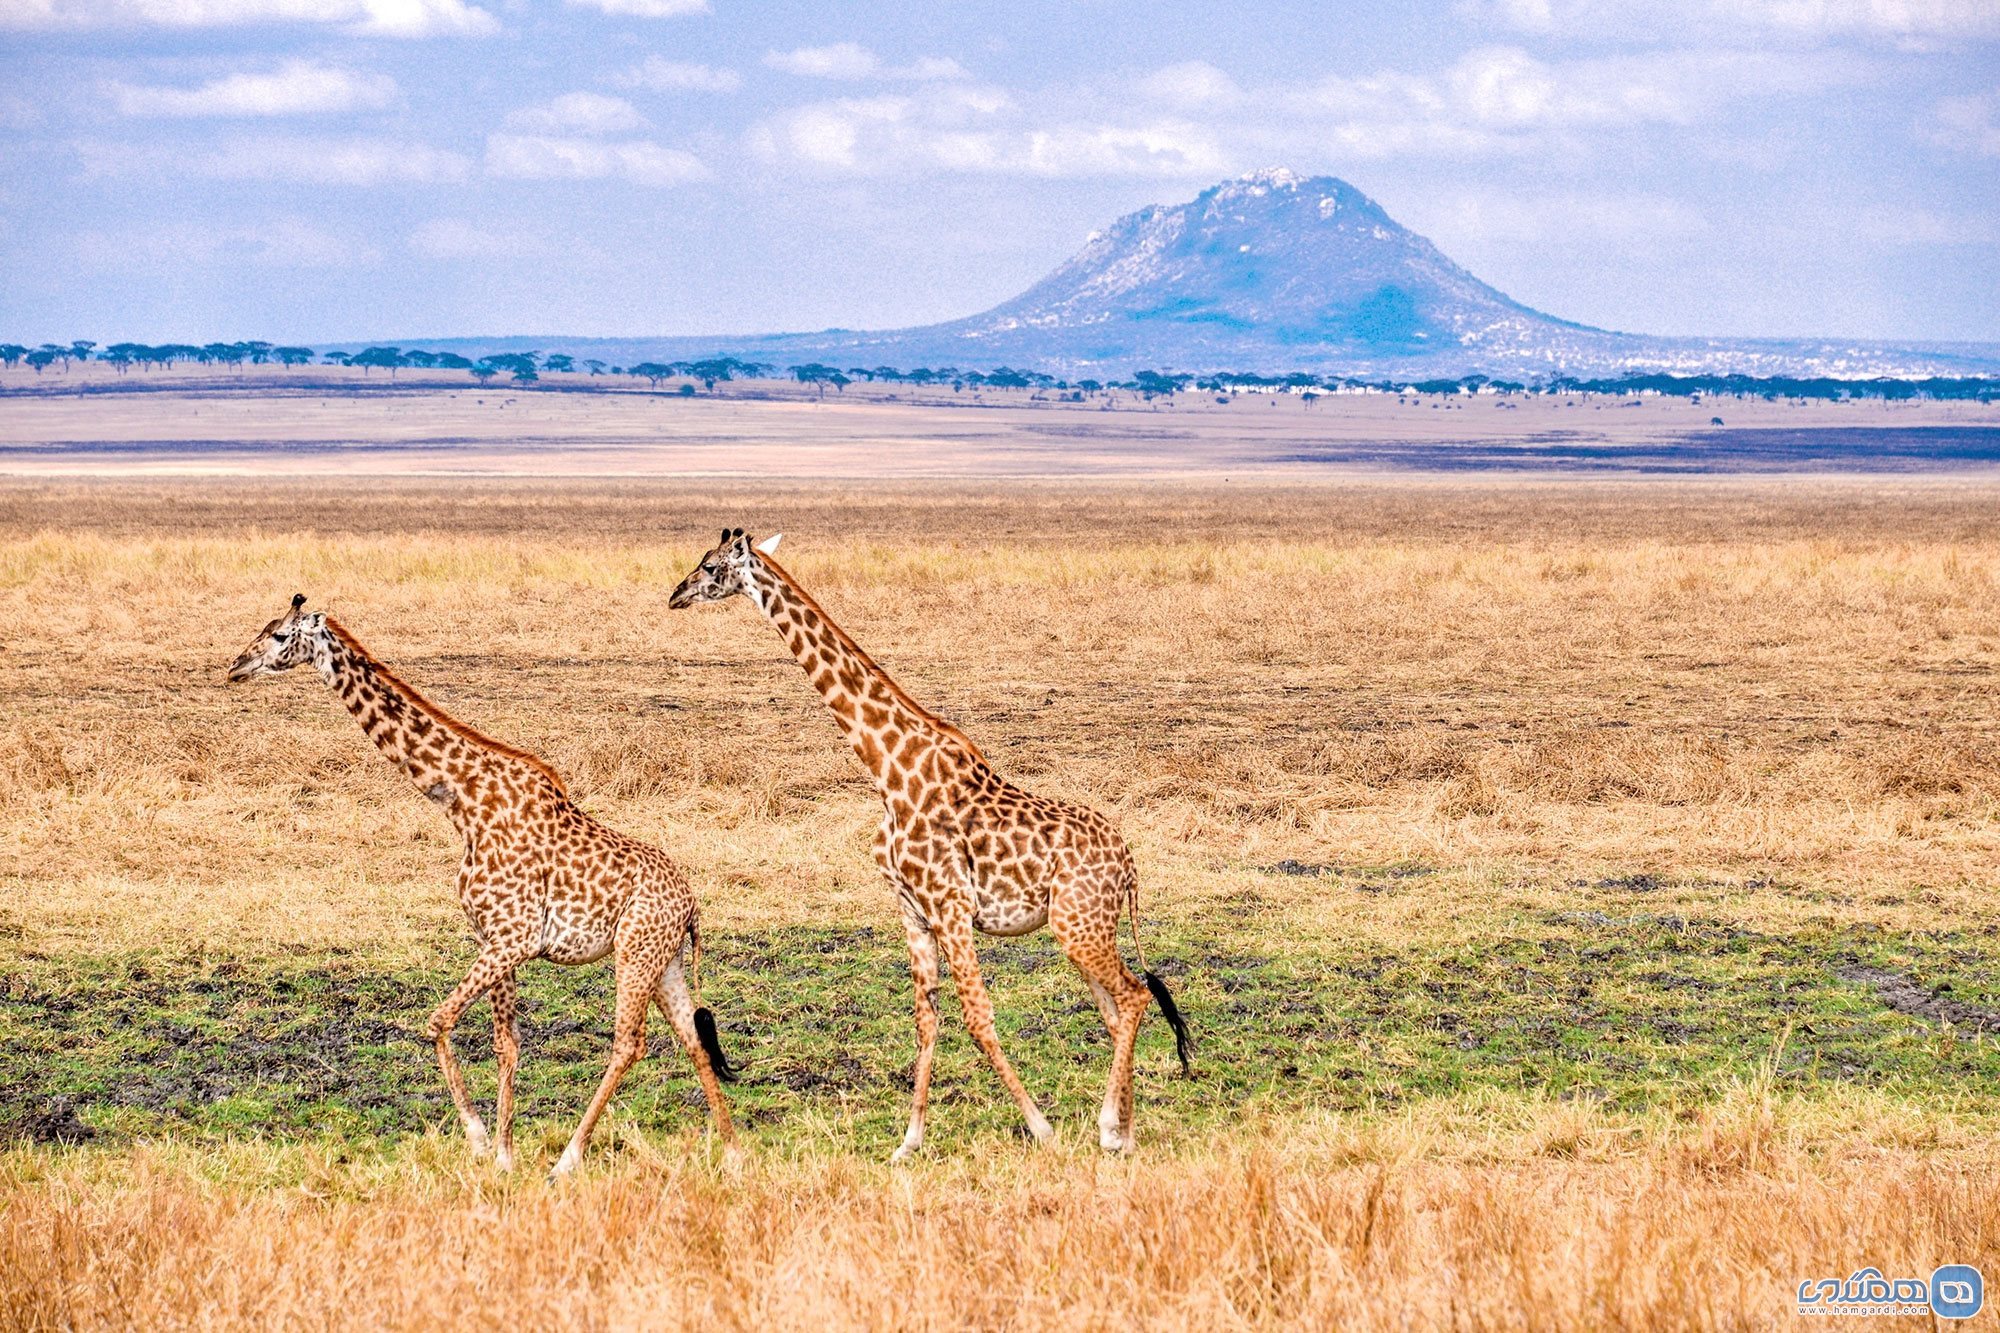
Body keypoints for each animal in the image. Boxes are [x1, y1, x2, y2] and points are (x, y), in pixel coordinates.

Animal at [229, 592, 744, 1176]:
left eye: (278, 636)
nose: (235, 666)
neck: (465, 803)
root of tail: (692, 905)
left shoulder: (513, 938)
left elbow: (437, 1021)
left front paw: (478, 1137)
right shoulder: (493, 937)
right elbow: (506, 1044)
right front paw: (503, 1154)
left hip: (636, 953)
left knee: (628, 1044)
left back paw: (568, 1160)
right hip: (663, 960)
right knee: (693, 1041)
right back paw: (732, 1154)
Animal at [668, 520, 1184, 1152]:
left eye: (711, 566)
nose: (676, 594)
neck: (888, 769)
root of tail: (1131, 864)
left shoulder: (950, 905)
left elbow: (978, 1017)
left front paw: (1041, 1128)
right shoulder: (913, 911)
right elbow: (926, 1020)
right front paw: (909, 1140)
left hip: (1078, 924)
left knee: (1134, 997)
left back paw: (1112, 1127)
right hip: (1083, 927)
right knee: (1117, 1009)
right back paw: (1124, 1130)